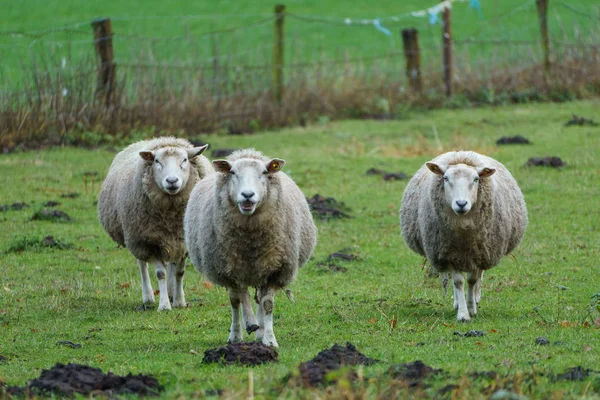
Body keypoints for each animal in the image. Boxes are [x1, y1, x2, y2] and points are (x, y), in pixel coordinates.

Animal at [97, 138, 212, 312]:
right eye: (157, 161)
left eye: (184, 160)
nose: (172, 181)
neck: (171, 215)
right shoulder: (149, 242)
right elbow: (160, 274)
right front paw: (164, 306)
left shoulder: (183, 241)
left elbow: (179, 272)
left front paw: (179, 301)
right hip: (136, 238)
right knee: (142, 266)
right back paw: (149, 298)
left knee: (171, 264)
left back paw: (171, 293)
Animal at [184, 148, 318, 348]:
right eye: (232, 172)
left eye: (264, 172)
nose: (247, 195)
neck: (250, 241)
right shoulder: (230, 269)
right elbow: (239, 299)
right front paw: (247, 326)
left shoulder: (275, 270)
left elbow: (267, 304)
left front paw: (269, 339)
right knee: (237, 301)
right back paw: (241, 332)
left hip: (262, 269)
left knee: (259, 300)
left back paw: (260, 332)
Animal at [400, 150, 528, 322]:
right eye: (446, 178)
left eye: (476, 179)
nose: (461, 204)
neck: (463, 233)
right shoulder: (449, 254)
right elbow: (458, 282)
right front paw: (462, 314)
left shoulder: (479, 254)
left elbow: (472, 280)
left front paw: (471, 308)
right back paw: (457, 302)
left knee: (479, 277)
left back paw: (475, 297)